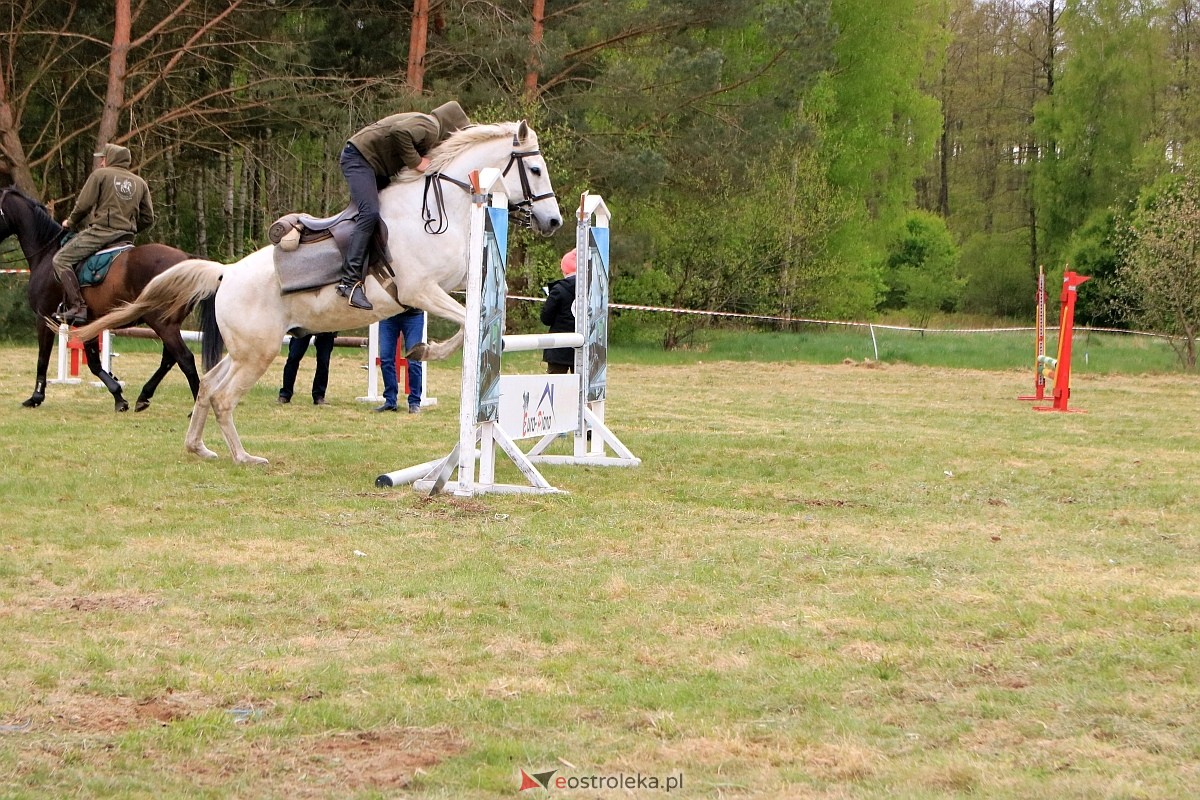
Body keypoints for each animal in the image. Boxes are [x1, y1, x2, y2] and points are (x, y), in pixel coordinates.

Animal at [0, 187, 206, 412]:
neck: (46, 253)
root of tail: (187, 259)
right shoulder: (88, 323)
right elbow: (94, 363)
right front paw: (119, 396)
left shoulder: (44, 318)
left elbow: (43, 358)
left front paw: (36, 397)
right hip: (168, 324)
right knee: (169, 359)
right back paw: (144, 395)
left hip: (163, 324)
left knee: (185, 359)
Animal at [79, 121, 561, 465]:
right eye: (536, 169)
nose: (554, 221)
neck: (440, 209)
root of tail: (226, 274)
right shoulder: (421, 290)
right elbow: (466, 322)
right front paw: (428, 351)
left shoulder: (446, 288)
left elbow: (476, 312)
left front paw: (425, 349)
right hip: (258, 353)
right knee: (222, 397)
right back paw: (244, 457)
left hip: (244, 349)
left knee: (207, 387)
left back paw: (199, 448)